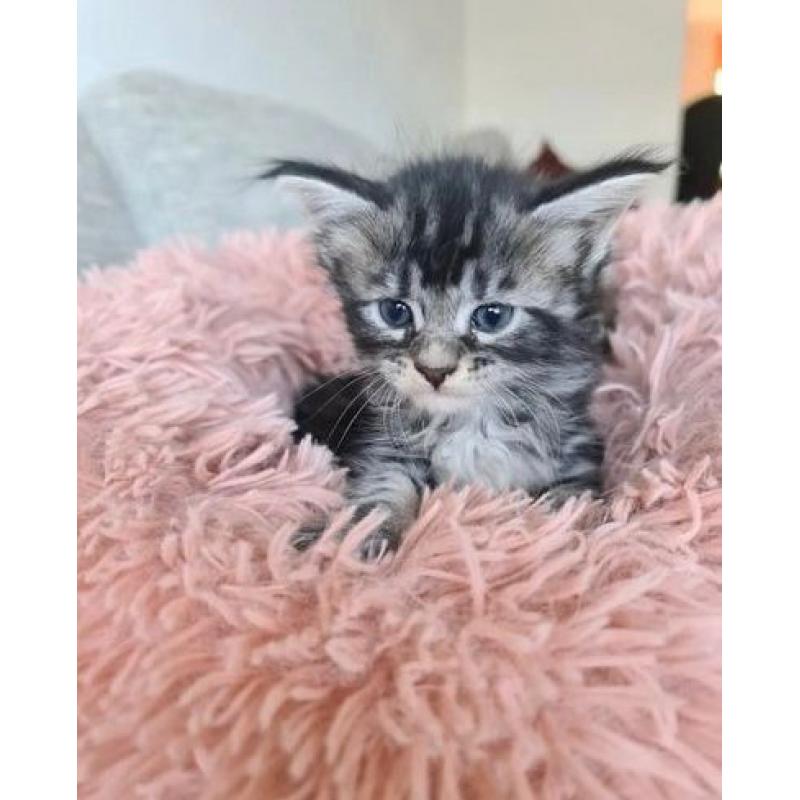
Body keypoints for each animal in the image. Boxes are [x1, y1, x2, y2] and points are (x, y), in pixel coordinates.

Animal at [262, 153, 664, 560]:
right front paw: (353, 536)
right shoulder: (384, 443)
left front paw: (560, 528)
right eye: (395, 312)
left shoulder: (577, 452)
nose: (434, 370)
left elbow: (573, 501)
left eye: (492, 316)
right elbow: (382, 488)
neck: (469, 423)